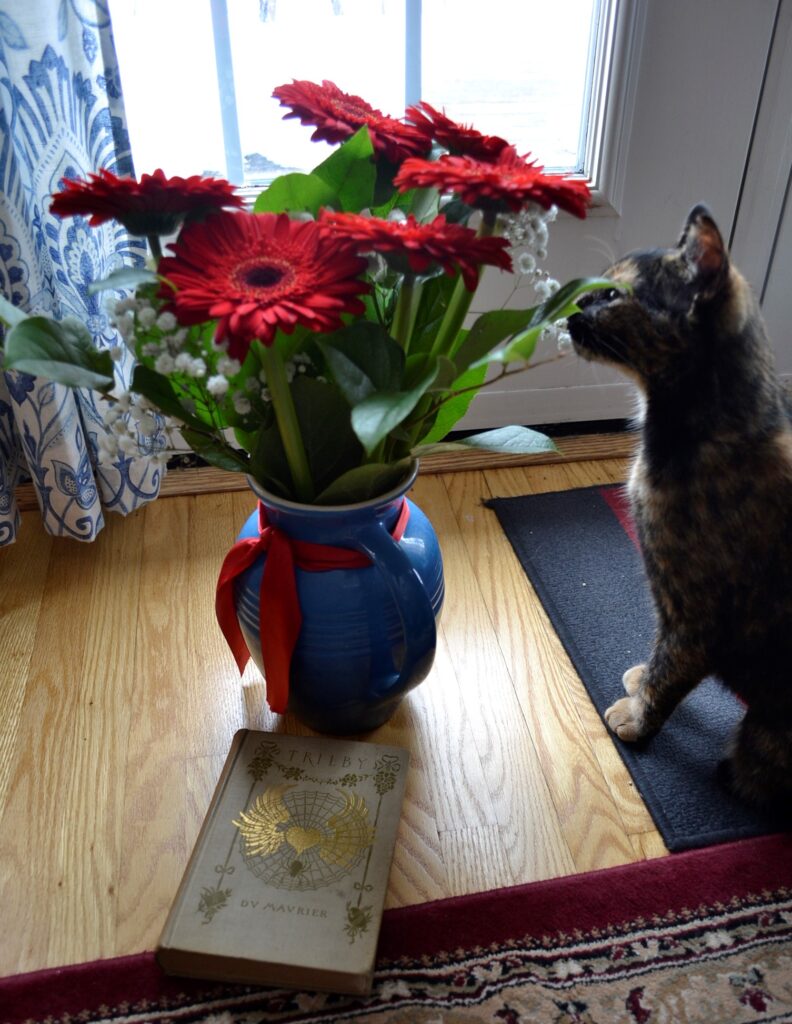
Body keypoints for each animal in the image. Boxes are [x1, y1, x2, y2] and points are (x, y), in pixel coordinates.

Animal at [565, 205, 790, 806]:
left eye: (612, 294)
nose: (572, 306)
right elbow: (657, 657)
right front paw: (640, 678)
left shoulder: (696, 612)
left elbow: (669, 673)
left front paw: (636, 718)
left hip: (764, 737)